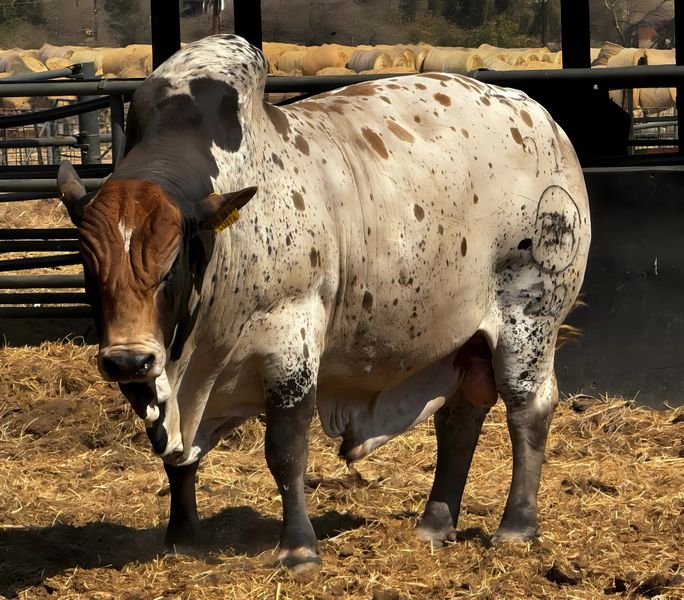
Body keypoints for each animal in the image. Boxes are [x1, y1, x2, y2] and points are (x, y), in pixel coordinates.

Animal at [57, 34, 590, 570]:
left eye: (169, 266)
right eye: (88, 264)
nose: (127, 359)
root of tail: (544, 120)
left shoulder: (290, 345)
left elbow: (286, 451)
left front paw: (298, 549)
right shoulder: (164, 380)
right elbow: (176, 460)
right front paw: (181, 537)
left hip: (530, 321)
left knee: (527, 408)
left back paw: (516, 526)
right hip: (463, 339)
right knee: (459, 419)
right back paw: (435, 525)